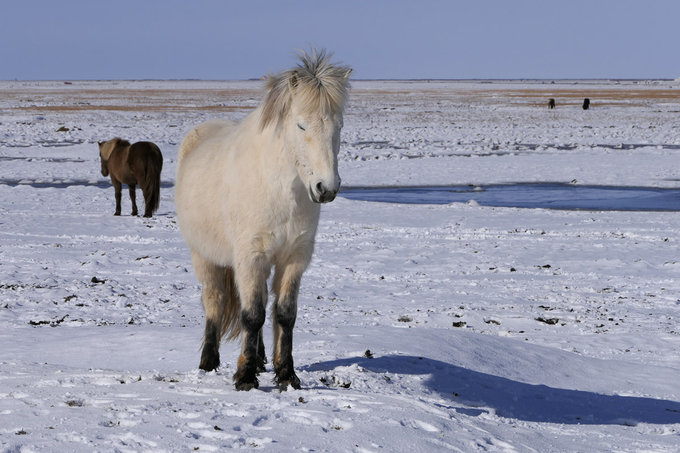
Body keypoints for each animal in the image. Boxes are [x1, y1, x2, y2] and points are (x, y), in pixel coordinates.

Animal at [175, 48, 354, 388]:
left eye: (339, 126)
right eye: (300, 126)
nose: (326, 188)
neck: (280, 191)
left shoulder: (294, 257)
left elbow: (284, 314)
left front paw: (286, 374)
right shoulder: (251, 256)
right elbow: (252, 315)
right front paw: (245, 378)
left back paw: (259, 361)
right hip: (205, 257)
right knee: (215, 303)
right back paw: (209, 362)